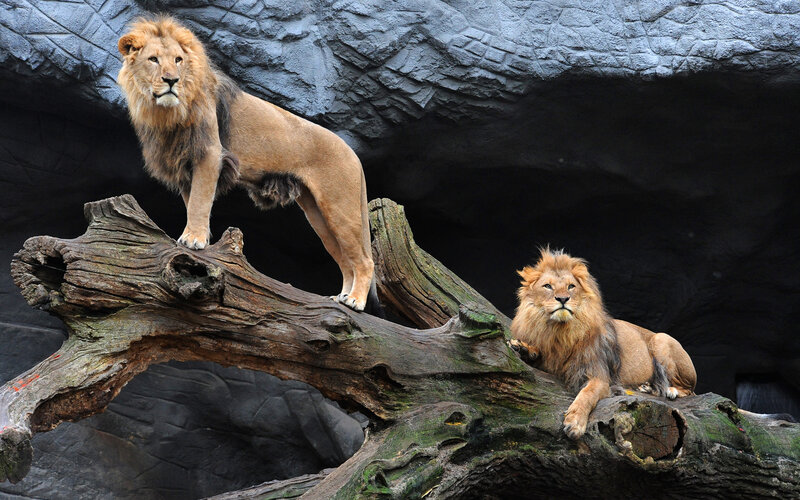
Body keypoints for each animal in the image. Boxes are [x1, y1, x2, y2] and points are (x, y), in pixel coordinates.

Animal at [117, 16, 376, 311]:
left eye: (178, 60)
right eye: (153, 59)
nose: (171, 80)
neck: (167, 112)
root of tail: (353, 153)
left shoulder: (210, 154)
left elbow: (199, 202)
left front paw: (193, 240)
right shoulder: (185, 164)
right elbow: (191, 202)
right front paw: (197, 237)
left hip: (340, 207)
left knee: (364, 260)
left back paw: (355, 301)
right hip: (318, 214)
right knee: (345, 259)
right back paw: (341, 297)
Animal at [509, 248, 696, 439]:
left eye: (571, 286)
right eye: (547, 286)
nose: (562, 299)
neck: (560, 332)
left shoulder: (599, 375)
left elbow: (587, 394)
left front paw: (574, 423)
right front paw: (522, 348)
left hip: (661, 339)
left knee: (688, 389)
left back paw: (670, 390)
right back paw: (646, 387)